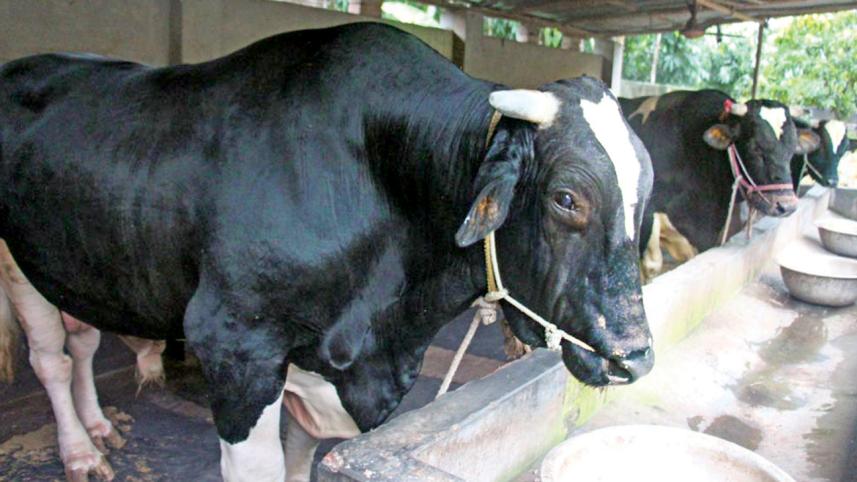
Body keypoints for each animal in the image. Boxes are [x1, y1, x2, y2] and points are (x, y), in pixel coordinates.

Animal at [0, 23, 654, 482]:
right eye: (567, 198)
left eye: (646, 192)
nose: (636, 358)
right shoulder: (236, 344)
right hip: (14, 262)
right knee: (52, 360)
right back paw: (80, 452)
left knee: (82, 341)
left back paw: (97, 428)